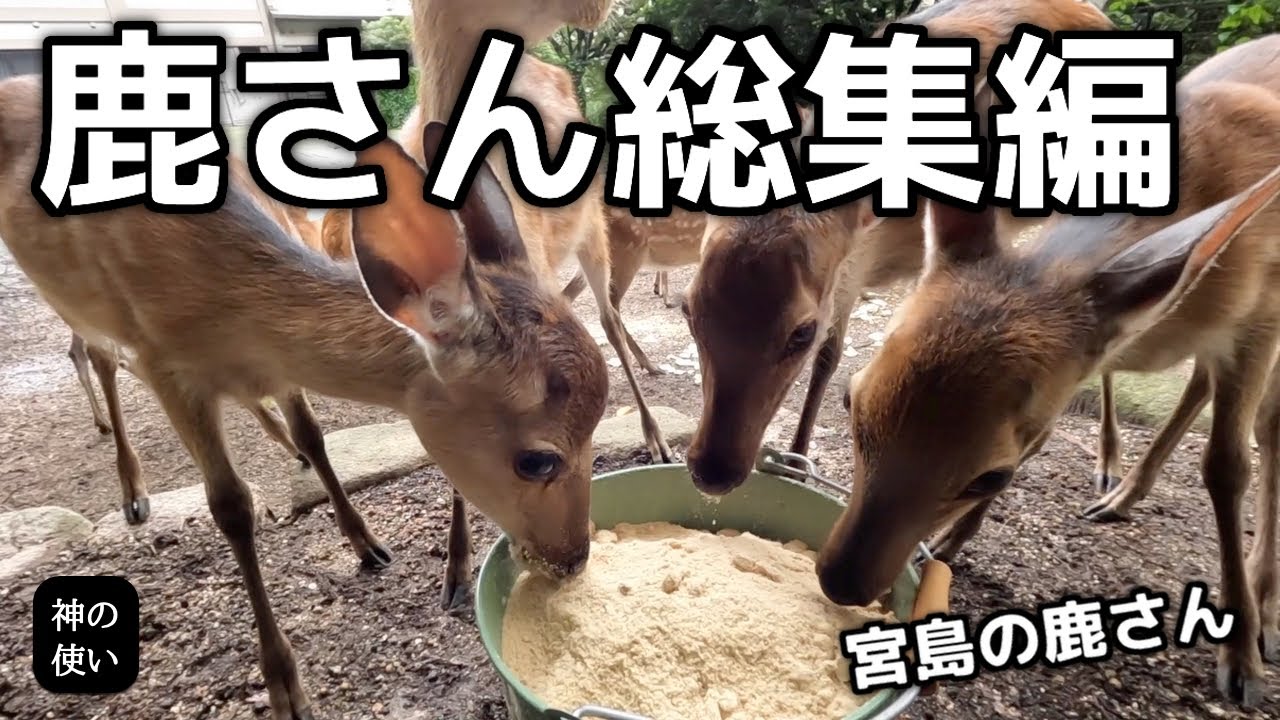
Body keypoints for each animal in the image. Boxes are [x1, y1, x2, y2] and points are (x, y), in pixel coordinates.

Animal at [681, 0, 1116, 496]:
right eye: (688, 308)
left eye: (801, 332)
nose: (713, 471)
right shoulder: (852, 260)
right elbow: (836, 352)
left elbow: (829, 355)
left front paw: (797, 462)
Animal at [823, 33, 1280, 707]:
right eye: (852, 401)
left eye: (989, 475)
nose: (840, 581)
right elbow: (1045, 436)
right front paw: (952, 545)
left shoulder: (1259, 319)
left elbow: (1227, 467)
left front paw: (1242, 656)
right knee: (1196, 386)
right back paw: (1118, 492)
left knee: (1262, 430)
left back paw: (1262, 608)